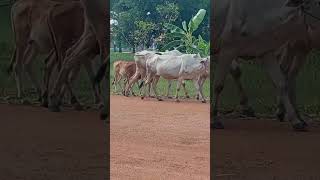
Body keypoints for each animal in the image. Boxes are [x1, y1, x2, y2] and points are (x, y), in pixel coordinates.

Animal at [212, 0, 320, 131]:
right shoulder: (227, 50)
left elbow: (281, 83)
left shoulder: (266, 51)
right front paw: (214, 119)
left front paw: (296, 121)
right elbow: (218, 85)